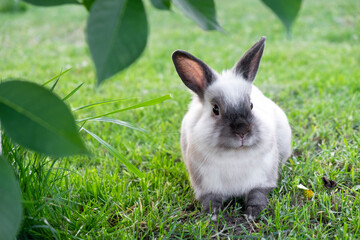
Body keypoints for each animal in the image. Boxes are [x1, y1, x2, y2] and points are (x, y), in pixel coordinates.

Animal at [172, 36, 292, 219]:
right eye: (215, 109)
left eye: (251, 105)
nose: (242, 131)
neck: (235, 155)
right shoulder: (207, 187)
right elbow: (210, 201)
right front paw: (213, 215)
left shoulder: (261, 182)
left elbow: (257, 196)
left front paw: (253, 214)